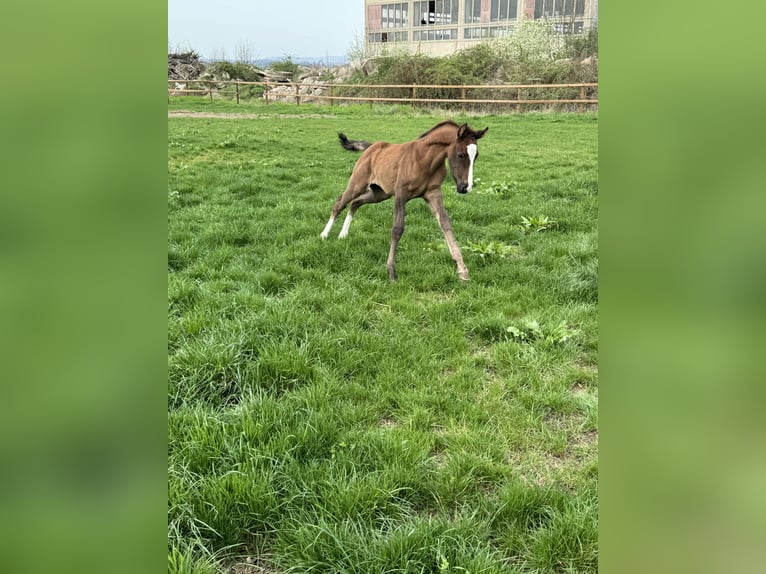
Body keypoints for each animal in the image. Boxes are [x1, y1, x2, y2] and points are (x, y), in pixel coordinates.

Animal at [320, 122, 488, 284]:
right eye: (460, 155)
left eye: (476, 156)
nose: (465, 187)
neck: (425, 159)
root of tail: (371, 146)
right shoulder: (401, 194)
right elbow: (397, 229)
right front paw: (391, 273)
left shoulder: (433, 193)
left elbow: (445, 223)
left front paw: (462, 271)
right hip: (357, 184)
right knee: (340, 203)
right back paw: (324, 234)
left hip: (380, 193)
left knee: (355, 203)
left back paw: (343, 234)